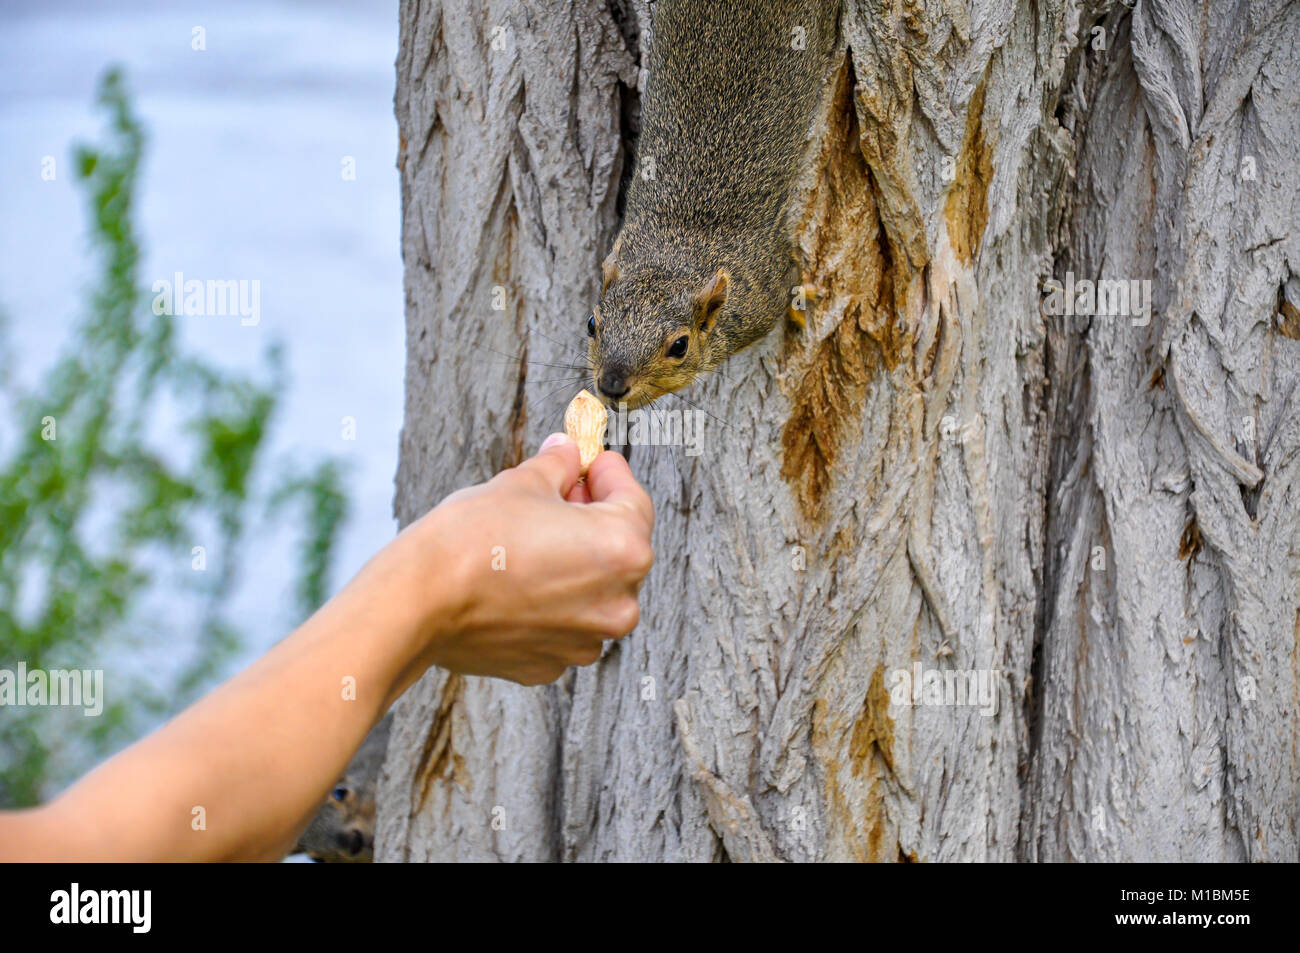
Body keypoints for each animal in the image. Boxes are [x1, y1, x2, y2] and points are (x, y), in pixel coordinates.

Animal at [587, 0, 838, 409]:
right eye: (592, 324)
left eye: (680, 346)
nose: (611, 386)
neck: (675, 254)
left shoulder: (764, 292)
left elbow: (792, 283)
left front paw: (802, 306)